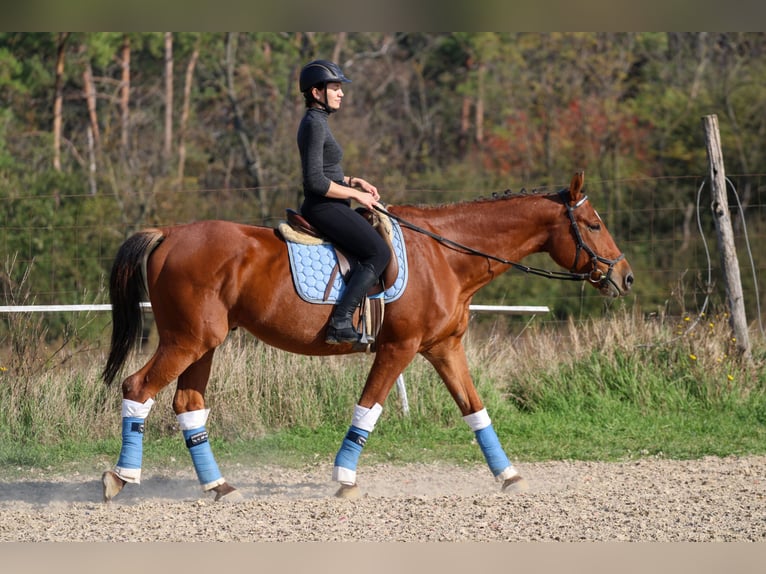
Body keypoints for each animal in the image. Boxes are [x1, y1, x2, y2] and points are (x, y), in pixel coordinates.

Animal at [97, 172, 636, 504]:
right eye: (594, 224)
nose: (625, 277)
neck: (444, 256)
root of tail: (169, 233)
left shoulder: (444, 348)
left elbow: (475, 410)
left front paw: (509, 476)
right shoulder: (400, 348)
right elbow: (368, 410)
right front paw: (345, 479)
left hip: (205, 343)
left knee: (188, 405)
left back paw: (220, 487)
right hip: (186, 340)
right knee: (138, 388)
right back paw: (120, 477)